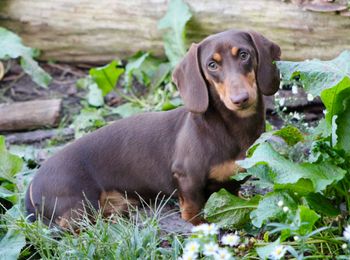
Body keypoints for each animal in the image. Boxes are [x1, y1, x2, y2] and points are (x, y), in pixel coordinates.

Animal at [25, 29, 282, 226]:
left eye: (244, 55)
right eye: (212, 65)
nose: (241, 99)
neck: (228, 128)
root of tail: (32, 186)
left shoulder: (233, 180)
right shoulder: (187, 178)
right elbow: (194, 209)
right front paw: (200, 225)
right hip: (80, 206)